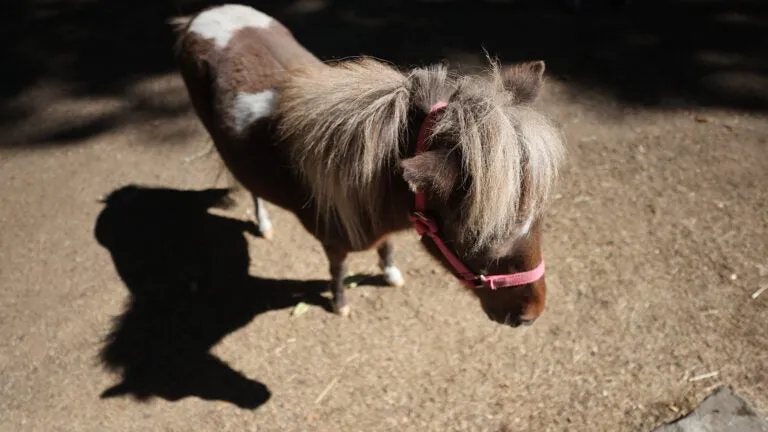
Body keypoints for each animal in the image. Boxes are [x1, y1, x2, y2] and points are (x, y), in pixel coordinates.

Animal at [172, 4, 565, 326]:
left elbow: (386, 247)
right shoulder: (334, 243)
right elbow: (339, 269)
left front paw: (390, 273)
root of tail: (206, 13)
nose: (531, 315)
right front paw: (340, 304)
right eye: (479, 240)